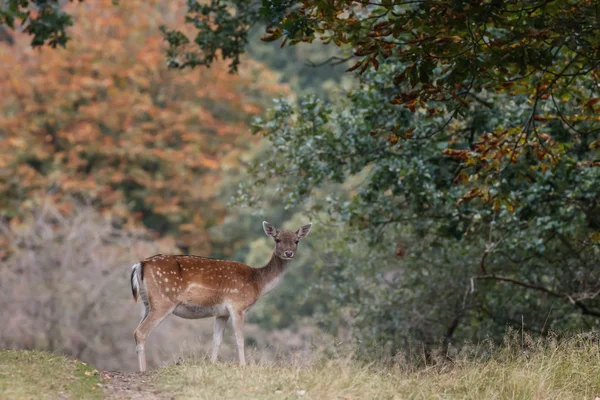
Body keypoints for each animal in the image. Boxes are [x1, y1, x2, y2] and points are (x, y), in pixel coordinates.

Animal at [129, 220, 312, 370]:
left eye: (296, 241)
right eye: (277, 239)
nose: (288, 253)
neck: (258, 282)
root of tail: (140, 264)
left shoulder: (222, 313)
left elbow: (217, 339)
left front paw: (212, 364)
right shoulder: (238, 305)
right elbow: (239, 338)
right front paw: (243, 366)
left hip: (146, 303)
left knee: (137, 330)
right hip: (163, 301)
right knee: (141, 332)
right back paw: (143, 370)